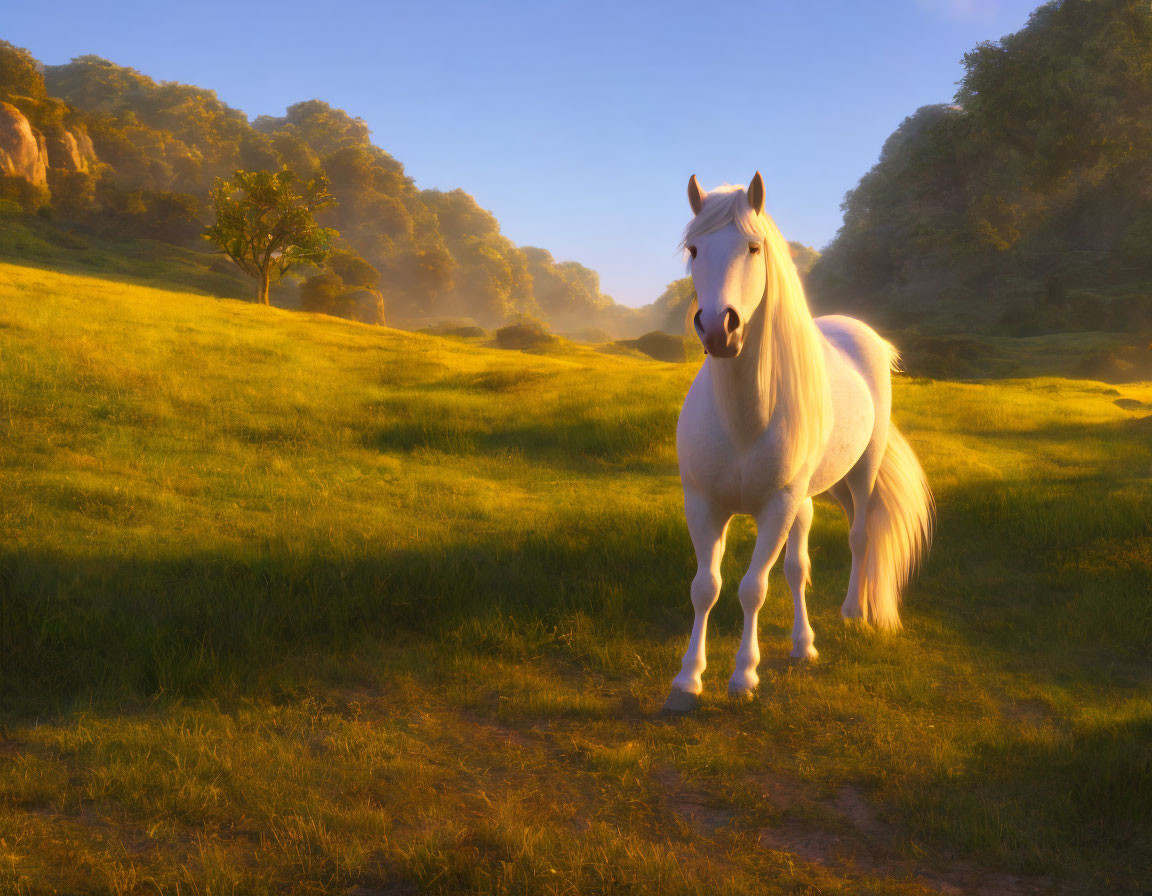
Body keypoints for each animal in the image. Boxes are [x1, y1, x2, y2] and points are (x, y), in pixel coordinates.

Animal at [663, 171, 930, 709]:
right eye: (695, 249)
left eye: (753, 247)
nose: (720, 330)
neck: (743, 420)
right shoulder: (703, 504)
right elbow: (706, 587)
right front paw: (687, 679)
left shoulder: (776, 507)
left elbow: (752, 588)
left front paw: (743, 677)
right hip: (809, 495)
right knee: (798, 565)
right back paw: (803, 644)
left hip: (860, 472)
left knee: (859, 535)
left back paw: (854, 612)